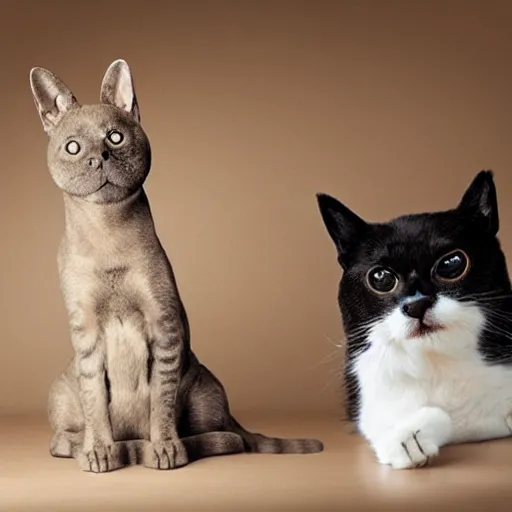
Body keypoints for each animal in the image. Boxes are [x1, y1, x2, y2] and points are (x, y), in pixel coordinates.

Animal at [29, 59, 324, 472]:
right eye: (73, 147)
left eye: (115, 138)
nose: (98, 157)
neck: (107, 233)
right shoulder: (85, 332)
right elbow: (95, 402)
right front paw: (100, 452)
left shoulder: (163, 324)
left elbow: (161, 401)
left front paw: (165, 450)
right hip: (61, 388)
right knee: (62, 437)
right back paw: (98, 446)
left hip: (202, 386)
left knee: (228, 437)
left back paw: (158, 446)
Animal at [316, 171, 512, 468]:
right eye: (380, 277)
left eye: (452, 263)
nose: (417, 304)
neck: (436, 360)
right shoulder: (368, 402)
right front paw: (408, 438)